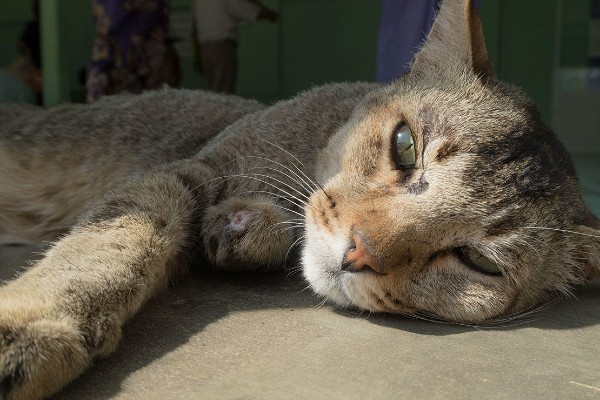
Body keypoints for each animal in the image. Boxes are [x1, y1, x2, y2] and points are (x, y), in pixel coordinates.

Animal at [1, 0, 600, 398]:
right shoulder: (187, 169)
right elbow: (113, 240)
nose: (359, 252)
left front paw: (242, 229)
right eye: (405, 145)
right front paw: (33, 324)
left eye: (479, 262)